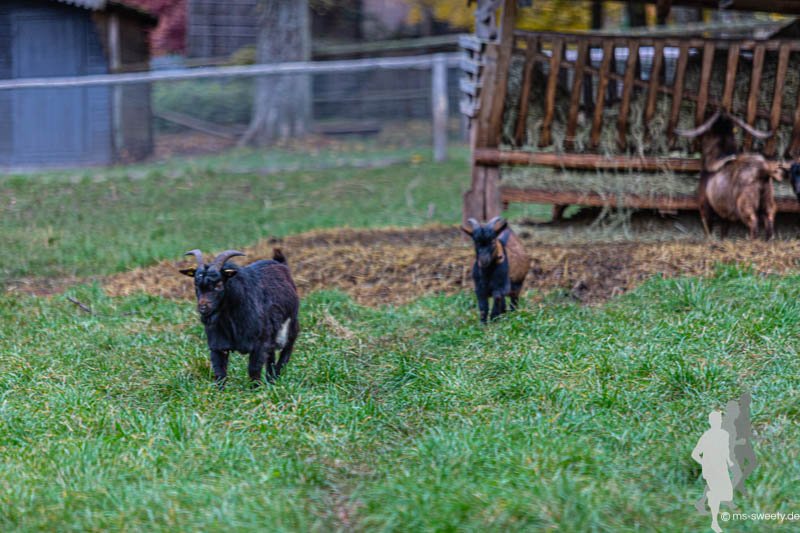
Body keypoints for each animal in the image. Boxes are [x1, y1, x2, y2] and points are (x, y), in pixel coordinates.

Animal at [179, 248, 300, 387]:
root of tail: (281, 264)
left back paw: (274, 378)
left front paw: (256, 389)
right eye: (196, 285)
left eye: (219, 284)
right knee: (271, 356)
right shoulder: (218, 345)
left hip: (291, 325)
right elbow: (220, 373)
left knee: (286, 350)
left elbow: (254, 370)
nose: (203, 308)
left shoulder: (260, 342)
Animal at [676, 110, 779, 240]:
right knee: (769, 219)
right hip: (768, 201)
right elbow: (724, 229)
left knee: (753, 221)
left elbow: (708, 227)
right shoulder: (725, 212)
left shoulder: (705, 205)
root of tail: (762, 171)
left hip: (745, 205)